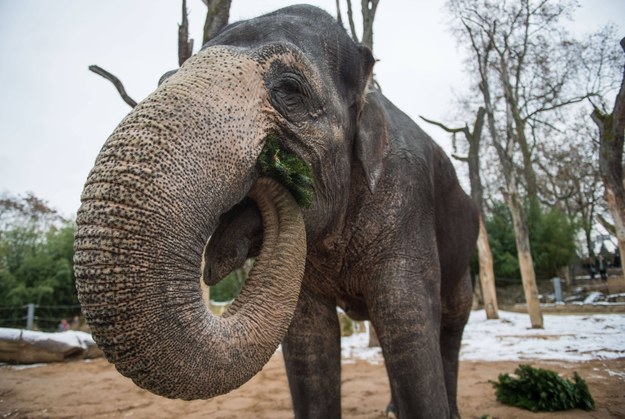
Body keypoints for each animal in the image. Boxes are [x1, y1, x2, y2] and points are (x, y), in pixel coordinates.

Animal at [73, 4, 476, 419]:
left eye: (290, 89)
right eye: (165, 79)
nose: (272, 169)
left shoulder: (406, 205)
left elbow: (408, 327)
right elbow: (308, 341)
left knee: (451, 323)